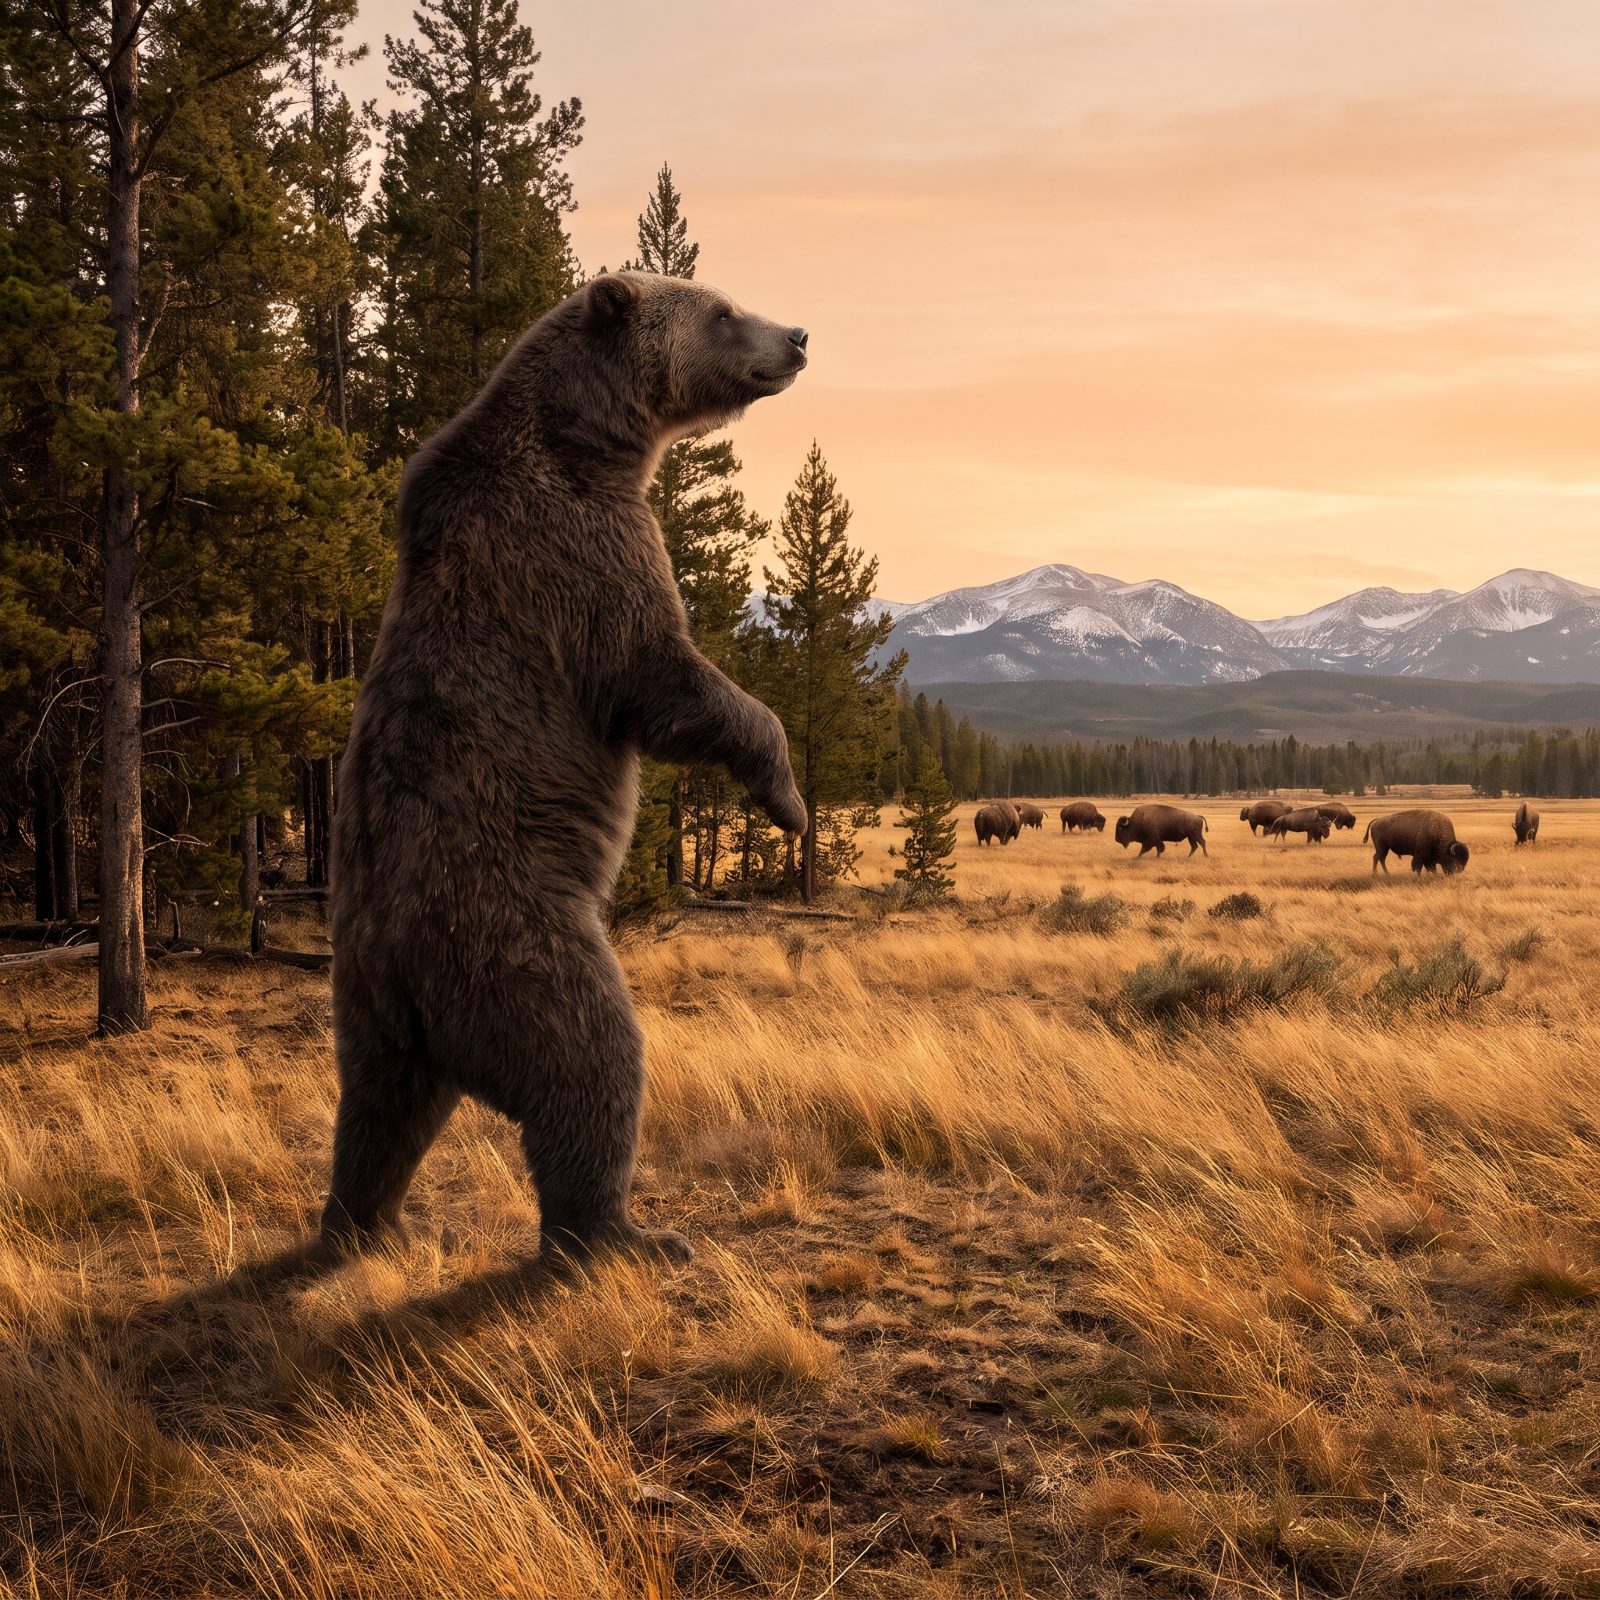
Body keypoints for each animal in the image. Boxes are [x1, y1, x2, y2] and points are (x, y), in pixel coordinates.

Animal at [321, 272, 810, 1263]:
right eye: (722, 311)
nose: (798, 337)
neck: (595, 439)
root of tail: (401, 973)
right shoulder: (578, 547)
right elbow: (659, 673)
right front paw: (787, 796)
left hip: (366, 1010)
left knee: (377, 1116)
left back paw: (362, 1225)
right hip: (513, 938)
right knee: (590, 1062)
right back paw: (625, 1232)